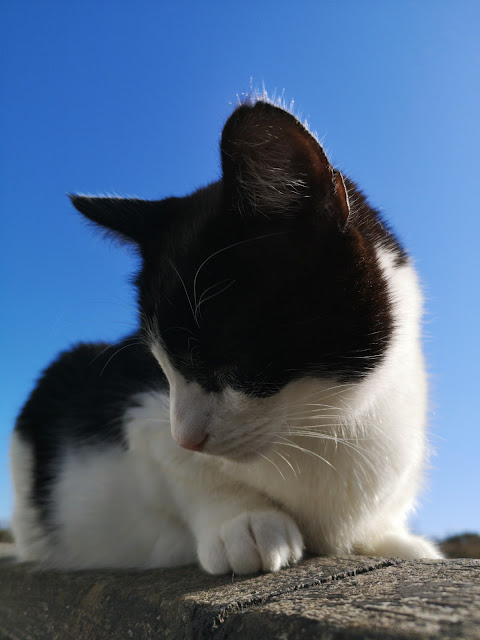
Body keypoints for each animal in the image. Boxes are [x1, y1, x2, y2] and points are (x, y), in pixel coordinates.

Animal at [9, 97, 442, 572]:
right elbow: (178, 468)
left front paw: (390, 540)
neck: (328, 422)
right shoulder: (140, 413)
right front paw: (245, 520)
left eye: (224, 356)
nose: (187, 437)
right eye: (160, 365)